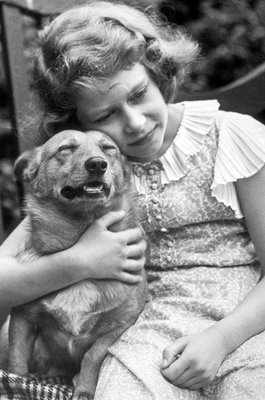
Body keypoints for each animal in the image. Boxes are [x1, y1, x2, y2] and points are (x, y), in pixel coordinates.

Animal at [8, 130, 147, 400]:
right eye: (65, 149)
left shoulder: (122, 323)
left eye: (108, 148)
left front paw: (83, 388)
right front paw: (16, 390)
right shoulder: (22, 317)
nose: (97, 164)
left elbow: (94, 355)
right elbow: (16, 365)